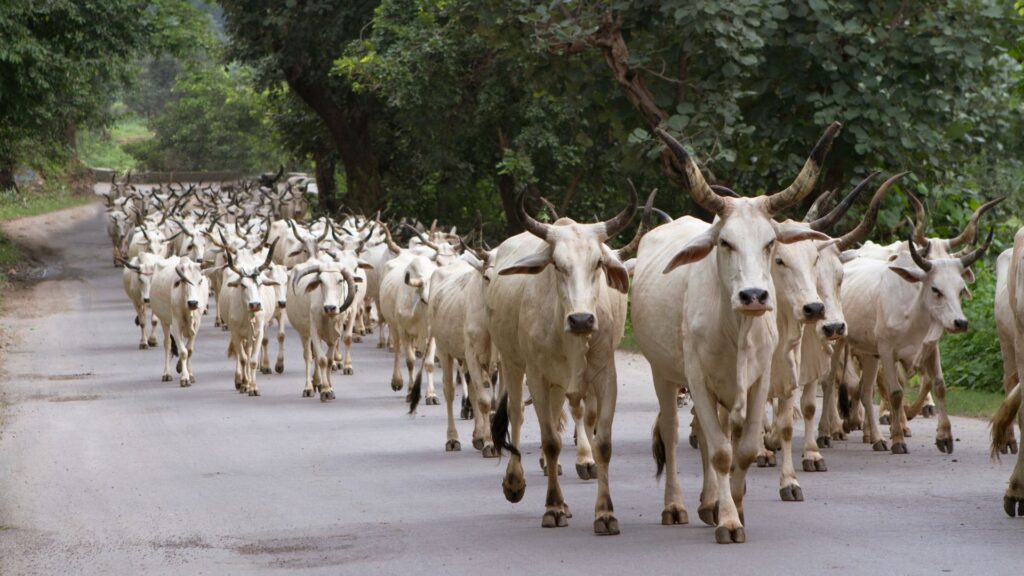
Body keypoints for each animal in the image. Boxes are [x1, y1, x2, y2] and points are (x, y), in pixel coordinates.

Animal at [488, 188, 636, 536]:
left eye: (598, 263)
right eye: (556, 264)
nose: (581, 319)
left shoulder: (604, 375)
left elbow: (603, 442)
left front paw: (605, 513)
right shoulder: (537, 376)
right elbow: (550, 442)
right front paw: (553, 507)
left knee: (557, 414)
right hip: (513, 363)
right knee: (516, 414)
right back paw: (515, 483)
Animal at [632, 123, 837, 543]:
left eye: (770, 242)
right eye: (724, 242)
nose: (754, 296)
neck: (736, 328)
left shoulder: (759, 382)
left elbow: (743, 448)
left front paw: (735, 507)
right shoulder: (698, 380)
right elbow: (721, 452)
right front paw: (727, 520)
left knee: (717, 432)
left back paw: (709, 502)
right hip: (664, 373)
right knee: (674, 432)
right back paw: (678, 505)